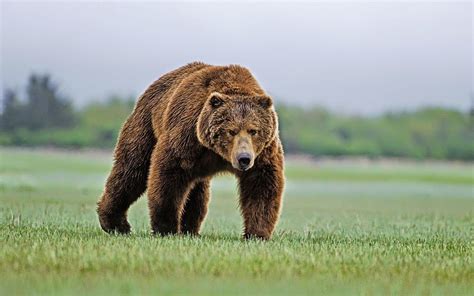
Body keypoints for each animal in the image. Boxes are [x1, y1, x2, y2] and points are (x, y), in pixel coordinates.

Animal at [94, 61, 284, 239]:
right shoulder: (187, 135)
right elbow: (168, 176)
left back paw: (190, 230)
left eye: (253, 130)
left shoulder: (263, 153)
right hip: (146, 126)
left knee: (197, 192)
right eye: (231, 131)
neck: (218, 154)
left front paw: (256, 233)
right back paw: (115, 224)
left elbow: (262, 185)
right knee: (132, 170)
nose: (243, 158)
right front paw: (166, 228)